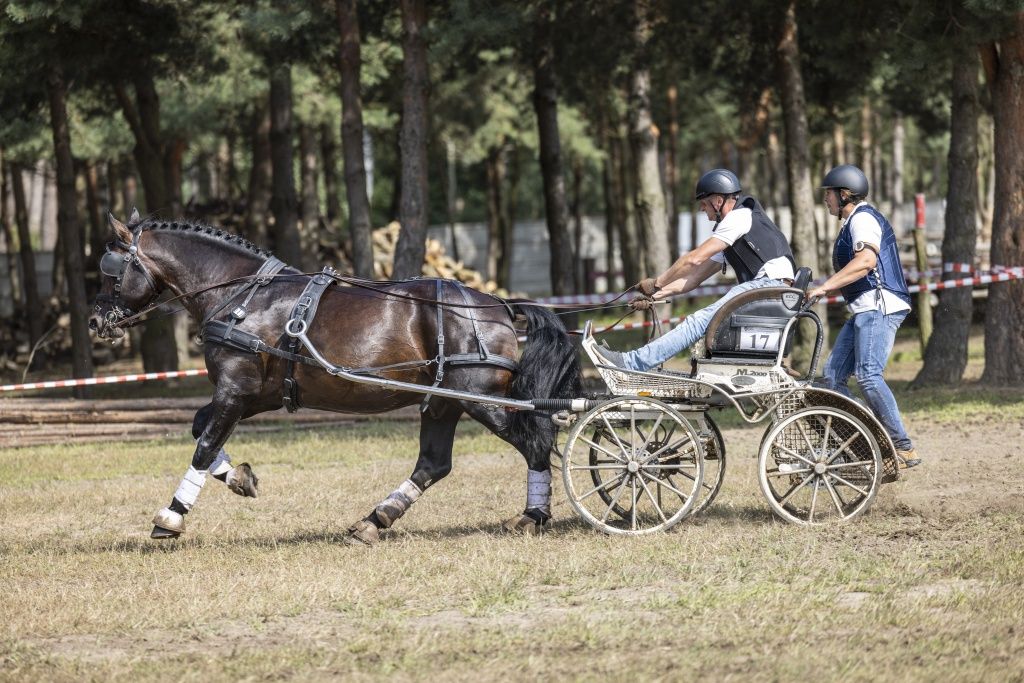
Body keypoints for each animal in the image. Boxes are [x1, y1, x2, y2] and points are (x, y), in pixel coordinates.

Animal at [92, 214, 581, 544]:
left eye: (111, 271)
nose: (97, 321)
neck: (240, 295)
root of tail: (499, 305)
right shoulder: (257, 395)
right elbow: (199, 429)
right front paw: (239, 478)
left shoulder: (235, 388)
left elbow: (204, 445)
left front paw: (170, 517)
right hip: (443, 400)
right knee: (433, 463)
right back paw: (374, 521)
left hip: (480, 399)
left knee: (534, 442)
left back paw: (532, 516)